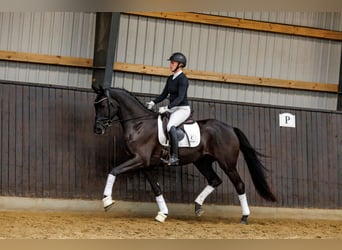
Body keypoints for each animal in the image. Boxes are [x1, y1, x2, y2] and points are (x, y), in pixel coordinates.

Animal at [92, 87, 276, 224]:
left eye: (103, 105)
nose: (98, 129)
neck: (139, 124)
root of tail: (230, 128)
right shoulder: (145, 164)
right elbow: (156, 188)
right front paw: (163, 214)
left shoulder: (139, 160)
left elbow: (114, 171)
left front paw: (107, 201)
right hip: (202, 162)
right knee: (215, 180)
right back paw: (198, 206)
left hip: (227, 163)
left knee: (239, 184)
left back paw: (244, 217)